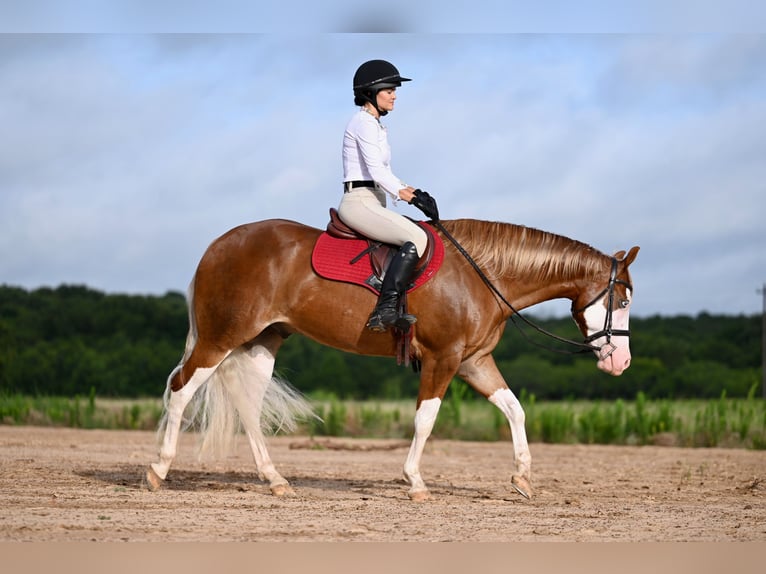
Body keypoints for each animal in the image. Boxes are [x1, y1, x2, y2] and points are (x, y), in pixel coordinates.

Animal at [147, 218, 640, 502]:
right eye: (622, 300)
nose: (620, 362)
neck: (482, 273)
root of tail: (218, 245)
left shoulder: (474, 361)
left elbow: (515, 409)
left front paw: (522, 478)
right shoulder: (444, 359)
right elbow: (426, 418)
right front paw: (415, 482)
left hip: (261, 343)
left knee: (248, 408)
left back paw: (275, 479)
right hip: (221, 338)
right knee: (181, 390)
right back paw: (157, 470)